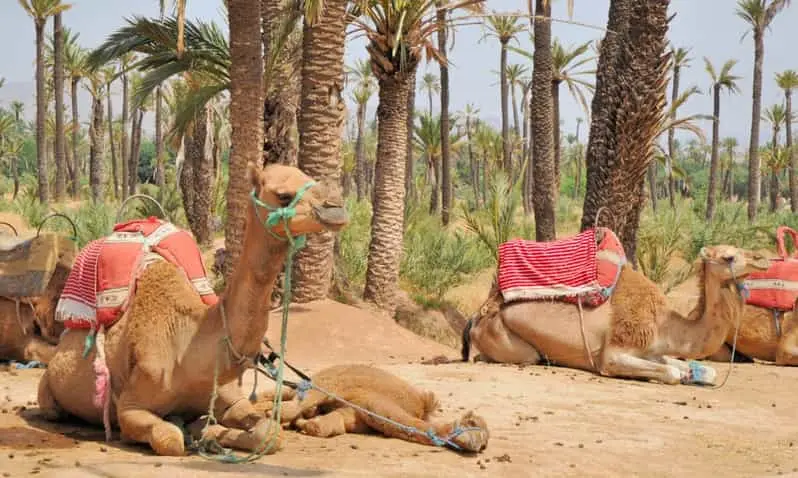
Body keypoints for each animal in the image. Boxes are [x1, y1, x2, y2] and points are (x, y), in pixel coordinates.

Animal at [36, 162, 349, 457]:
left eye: (309, 177)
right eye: (284, 195)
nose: (337, 208)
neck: (189, 347)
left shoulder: (229, 397)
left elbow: (270, 433)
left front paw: (210, 433)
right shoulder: (130, 406)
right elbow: (170, 438)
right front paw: (196, 433)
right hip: (48, 390)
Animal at [253, 363, 489, 453]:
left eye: (486, 441)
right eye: (472, 423)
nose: (479, 445)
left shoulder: (355, 414)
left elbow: (328, 425)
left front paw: (304, 424)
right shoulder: (371, 403)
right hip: (327, 379)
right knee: (295, 394)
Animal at [462, 244, 771, 385]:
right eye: (729, 257)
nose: (763, 259)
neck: (665, 325)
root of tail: (478, 315)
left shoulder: (653, 350)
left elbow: (700, 369)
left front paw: (693, 373)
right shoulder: (614, 353)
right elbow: (671, 372)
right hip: (509, 340)